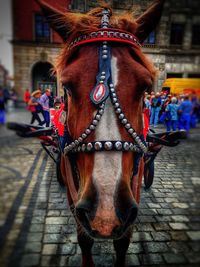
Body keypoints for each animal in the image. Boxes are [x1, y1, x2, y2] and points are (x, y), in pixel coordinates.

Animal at [36, 1, 165, 266]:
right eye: (67, 86)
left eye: (145, 87)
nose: (105, 212)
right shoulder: (75, 197)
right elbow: (84, 238)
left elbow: (123, 241)